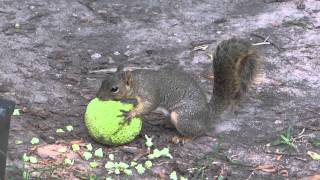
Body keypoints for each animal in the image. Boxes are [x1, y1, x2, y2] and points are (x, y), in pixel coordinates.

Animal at [97, 37, 260, 136]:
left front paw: (131, 113)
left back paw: (182, 137)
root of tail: (207, 114)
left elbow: (149, 105)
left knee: (197, 132)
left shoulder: (150, 92)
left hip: (183, 116)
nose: (98, 97)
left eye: (114, 89)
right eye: (103, 81)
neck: (137, 81)